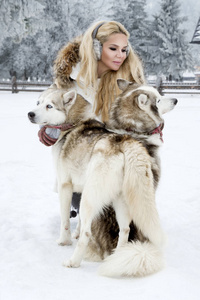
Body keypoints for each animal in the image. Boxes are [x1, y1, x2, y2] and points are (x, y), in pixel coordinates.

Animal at [27, 79, 177, 276]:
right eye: (38, 102)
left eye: (49, 106)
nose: (30, 114)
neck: (72, 123)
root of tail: (124, 143)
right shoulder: (81, 188)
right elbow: (79, 221)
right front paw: (74, 233)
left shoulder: (65, 185)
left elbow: (65, 219)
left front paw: (64, 240)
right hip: (120, 201)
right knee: (124, 229)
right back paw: (116, 257)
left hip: (91, 198)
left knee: (87, 233)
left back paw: (73, 261)